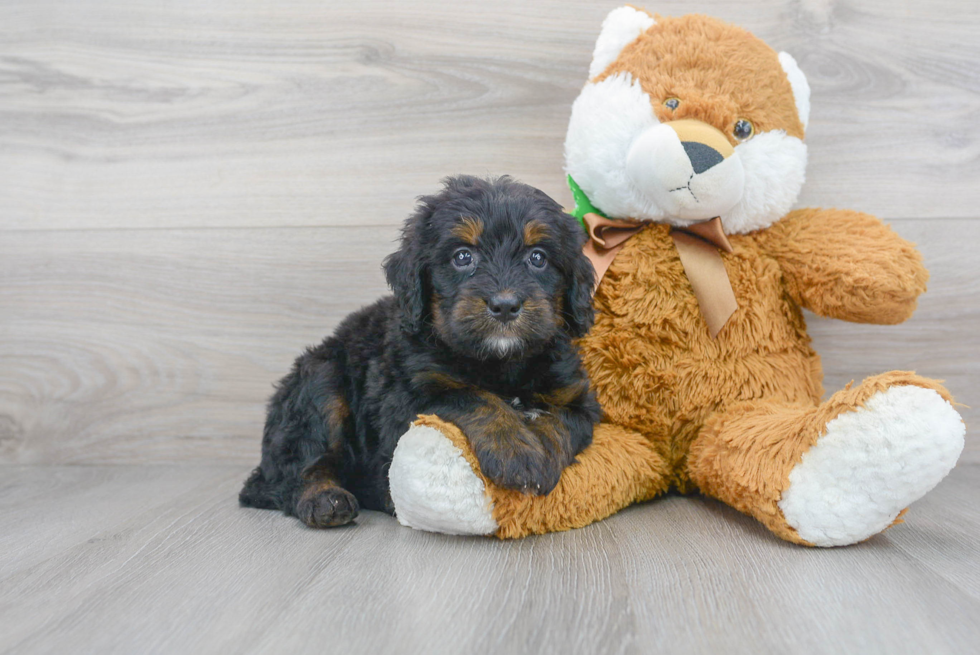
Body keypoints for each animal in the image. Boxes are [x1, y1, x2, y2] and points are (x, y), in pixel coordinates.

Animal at [241, 177, 600, 532]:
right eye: (463, 256)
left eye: (538, 258)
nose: (505, 305)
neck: (500, 363)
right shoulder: (407, 397)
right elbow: (473, 397)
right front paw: (516, 451)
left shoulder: (578, 399)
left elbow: (560, 422)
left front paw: (541, 456)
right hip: (321, 382)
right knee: (298, 469)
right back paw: (324, 499)